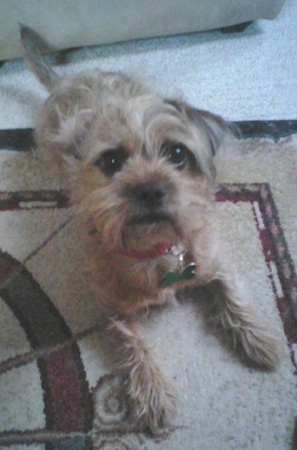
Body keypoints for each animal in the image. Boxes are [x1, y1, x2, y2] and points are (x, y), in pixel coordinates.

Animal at [21, 24, 282, 432]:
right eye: (112, 161)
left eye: (177, 154)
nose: (150, 189)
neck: (158, 247)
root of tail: (68, 79)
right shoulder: (111, 309)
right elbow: (134, 346)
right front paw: (153, 390)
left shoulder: (214, 262)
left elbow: (233, 297)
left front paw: (259, 339)